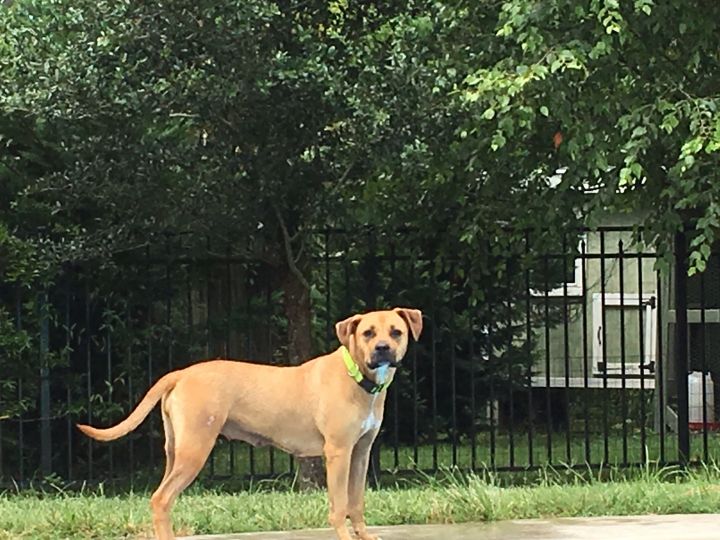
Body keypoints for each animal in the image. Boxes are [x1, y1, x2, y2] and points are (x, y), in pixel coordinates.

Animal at [74, 308, 422, 540]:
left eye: (395, 332)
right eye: (367, 333)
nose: (383, 349)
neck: (357, 376)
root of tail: (181, 373)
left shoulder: (360, 453)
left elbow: (356, 501)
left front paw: (364, 534)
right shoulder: (337, 453)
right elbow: (339, 505)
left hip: (176, 451)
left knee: (162, 499)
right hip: (194, 451)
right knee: (161, 499)